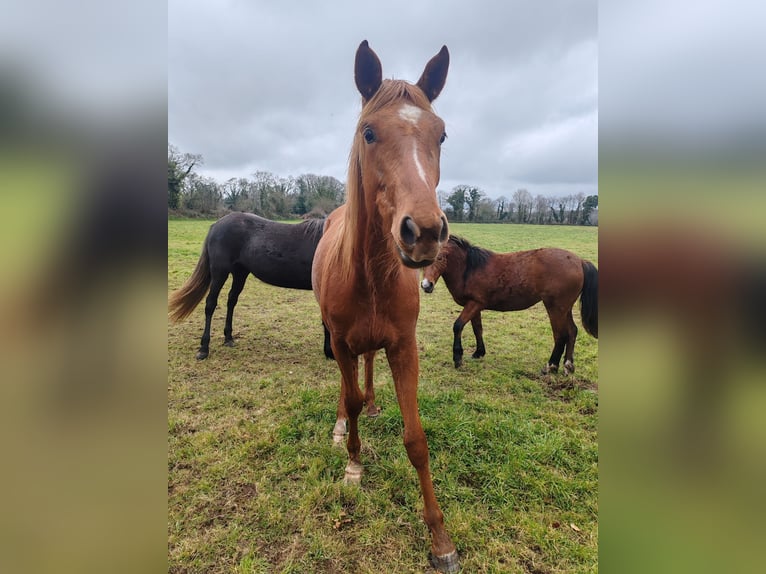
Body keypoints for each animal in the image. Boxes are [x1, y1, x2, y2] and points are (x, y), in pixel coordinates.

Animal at [169, 213, 330, 360]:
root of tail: (216, 225)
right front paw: (330, 352)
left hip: (240, 273)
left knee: (231, 301)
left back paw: (228, 338)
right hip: (219, 273)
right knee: (210, 304)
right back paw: (203, 349)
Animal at [314, 42, 462, 572]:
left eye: (442, 134)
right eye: (369, 132)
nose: (425, 232)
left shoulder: (404, 347)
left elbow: (416, 439)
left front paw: (440, 539)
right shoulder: (340, 342)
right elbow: (351, 397)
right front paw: (354, 464)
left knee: (369, 368)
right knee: (349, 386)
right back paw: (343, 425)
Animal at [420, 236, 600, 376]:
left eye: (440, 257)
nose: (426, 285)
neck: (469, 268)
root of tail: (580, 261)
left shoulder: (474, 304)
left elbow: (458, 326)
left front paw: (458, 358)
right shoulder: (474, 306)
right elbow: (477, 329)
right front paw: (479, 352)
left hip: (555, 308)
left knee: (560, 335)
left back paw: (551, 366)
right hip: (565, 309)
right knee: (572, 331)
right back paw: (568, 365)